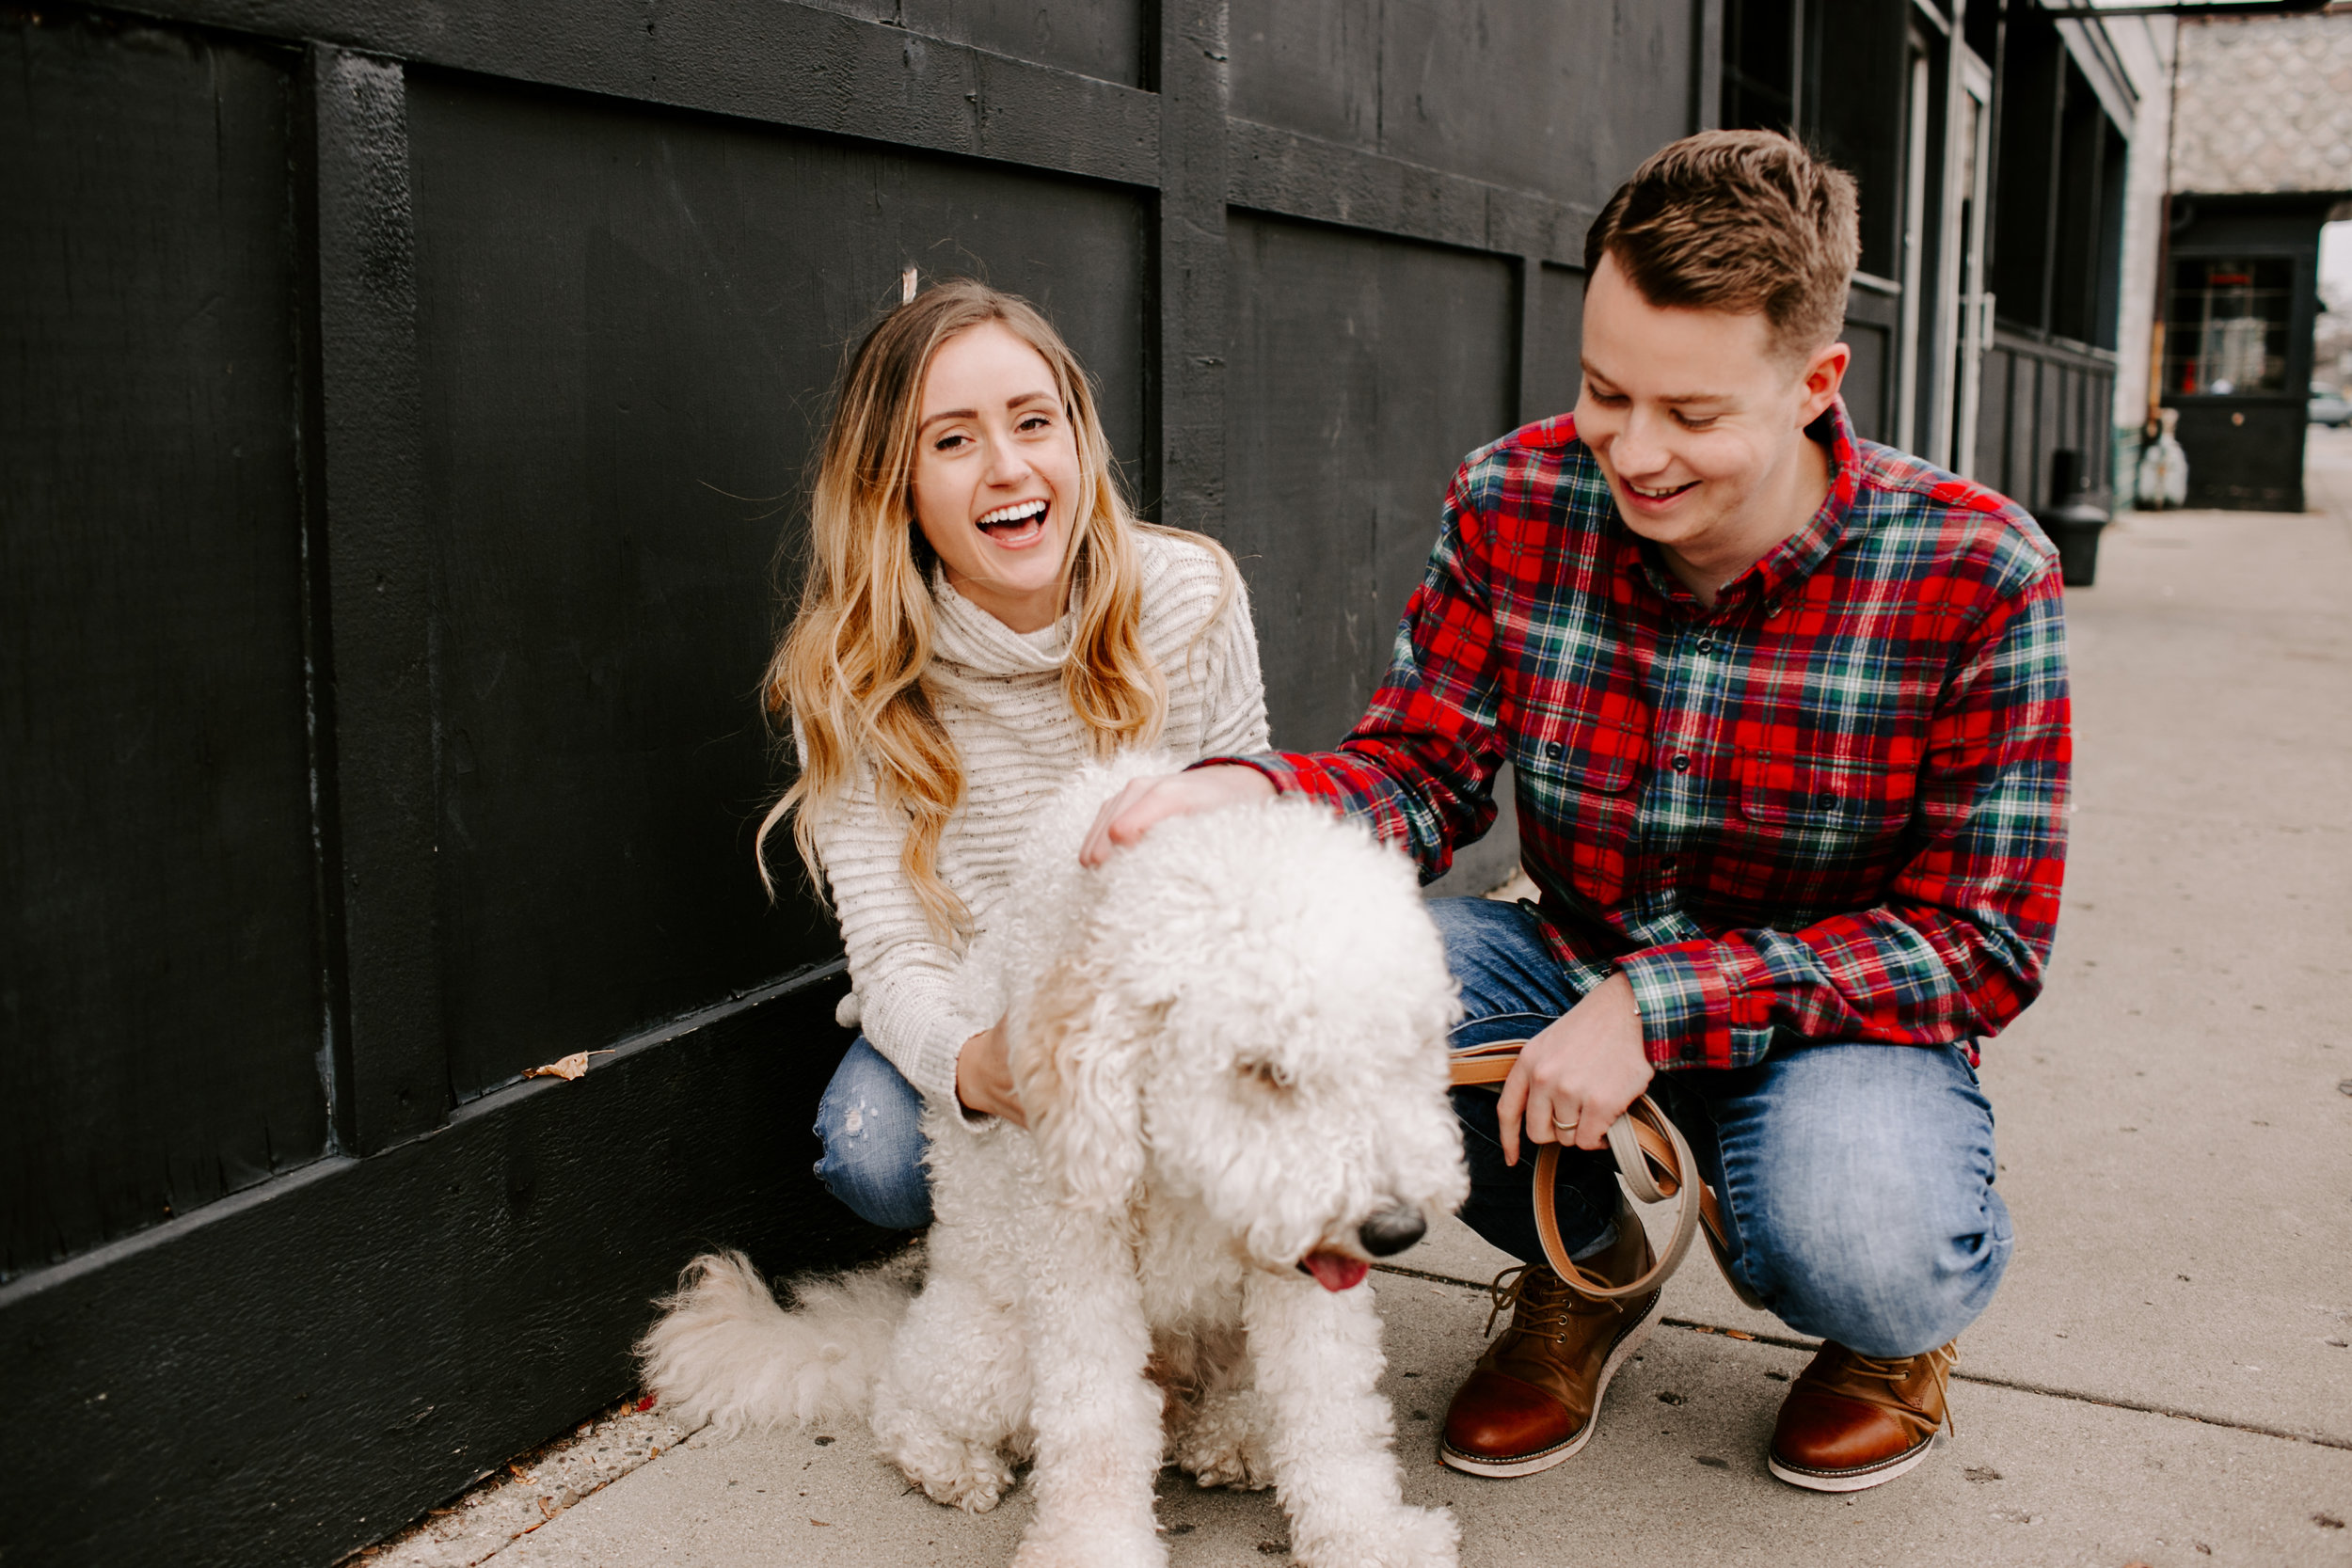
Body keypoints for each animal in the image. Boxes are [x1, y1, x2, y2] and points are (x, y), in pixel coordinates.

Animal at [635, 752, 1458, 1560]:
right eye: (1266, 1069)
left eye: (1404, 1049)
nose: (1395, 1229)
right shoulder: (1075, 1249)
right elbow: (1097, 1417)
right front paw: (1094, 1543)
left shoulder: (1296, 1265)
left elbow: (1330, 1400)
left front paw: (1366, 1535)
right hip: (991, 1350)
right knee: (905, 1401)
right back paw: (949, 1460)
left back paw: (1233, 1433)